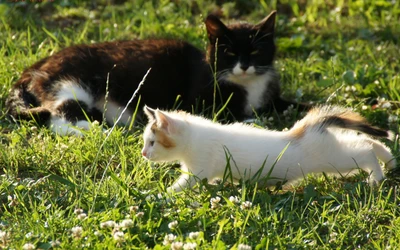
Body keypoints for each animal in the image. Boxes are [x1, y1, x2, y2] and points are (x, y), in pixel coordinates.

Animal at [5, 10, 306, 135]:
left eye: (255, 51)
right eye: (229, 53)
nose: (244, 65)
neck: (248, 84)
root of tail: (33, 68)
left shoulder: (271, 97)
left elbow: (292, 105)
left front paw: (313, 110)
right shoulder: (198, 102)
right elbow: (231, 115)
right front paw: (254, 122)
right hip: (72, 84)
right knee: (58, 116)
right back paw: (97, 132)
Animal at [142, 104, 396, 192]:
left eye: (152, 142)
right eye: (145, 142)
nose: (144, 154)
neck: (194, 136)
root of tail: (307, 126)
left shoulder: (199, 170)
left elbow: (179, 187)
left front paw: (159, 196)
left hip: (334, 159)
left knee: (364, 149)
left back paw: (376, 176)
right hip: (334, 148)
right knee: (366, 141)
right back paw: (390, 161)